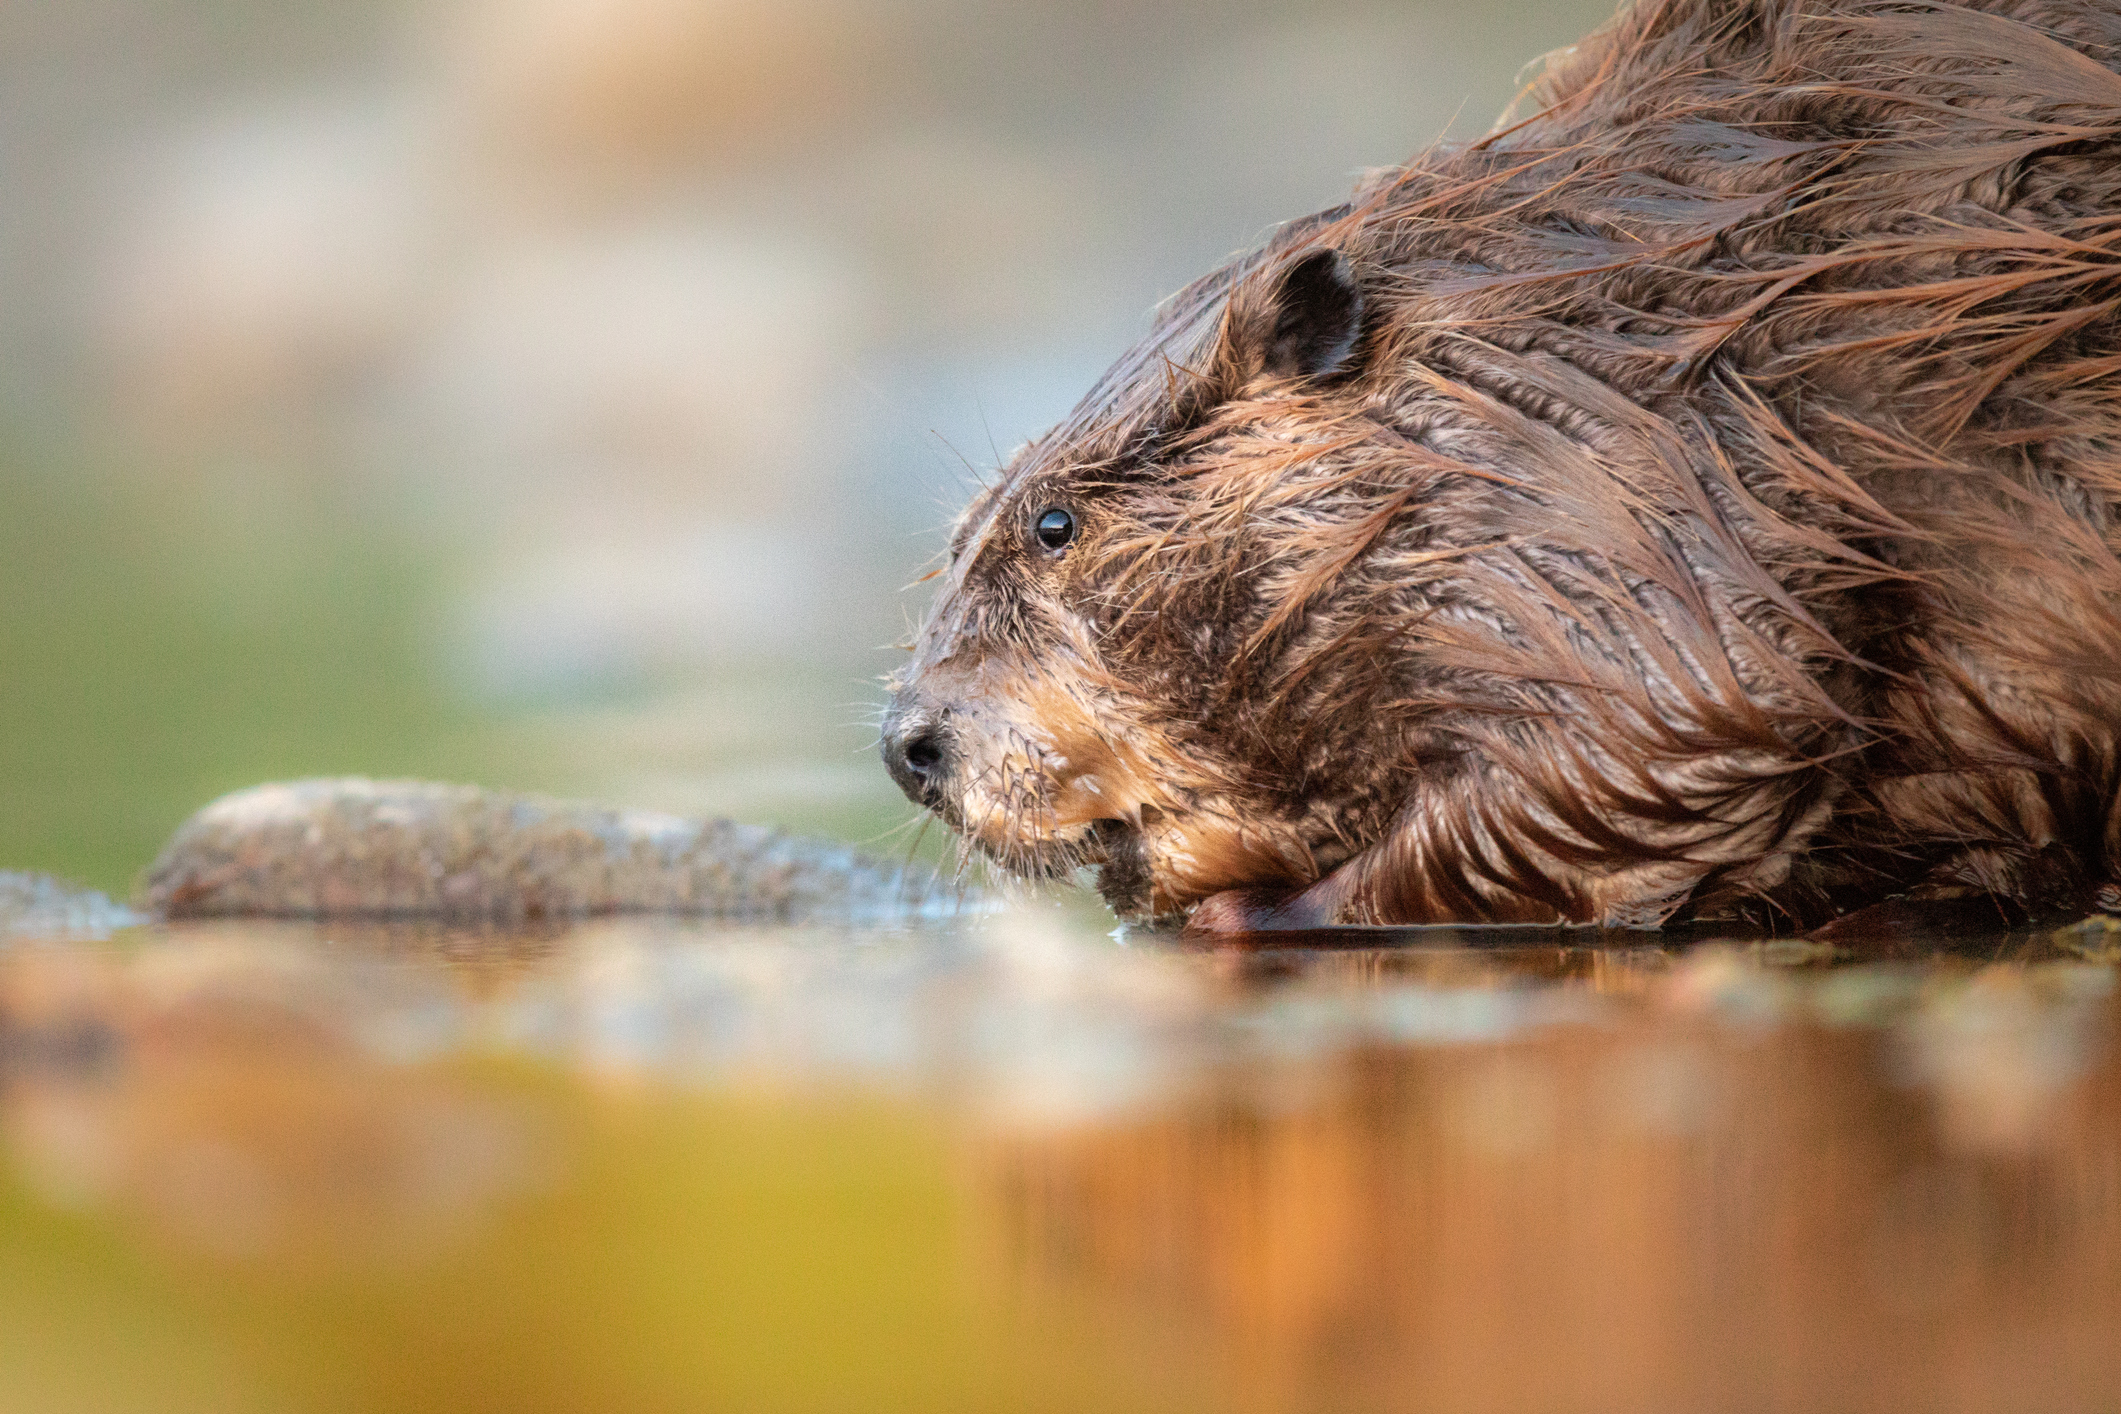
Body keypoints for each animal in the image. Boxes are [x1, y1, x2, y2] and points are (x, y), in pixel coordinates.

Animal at [873, 0, 2121, 932]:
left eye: (1055, 526)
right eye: (962, 535)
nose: (907, 745)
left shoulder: (1633, 533)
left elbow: (1688, 732)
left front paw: (1259, 915)